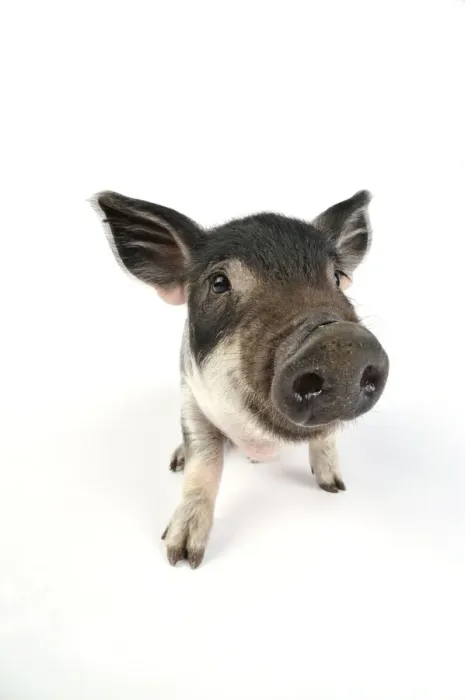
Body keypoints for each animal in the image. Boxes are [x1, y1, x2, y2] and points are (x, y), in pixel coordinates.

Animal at [92, 189, 389, 568]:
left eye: (337, 278)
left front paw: (334, 487)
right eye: (219, 282)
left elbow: (326, 439)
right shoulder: (190, 396)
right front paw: (181, 556)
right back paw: (177, 462)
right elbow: (204, 462)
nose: (340, 342)